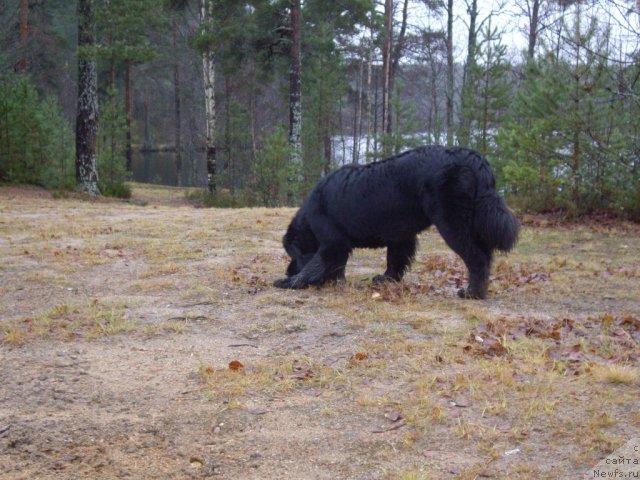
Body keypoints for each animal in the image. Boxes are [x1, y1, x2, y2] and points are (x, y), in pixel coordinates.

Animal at [276, 144, 520, 298]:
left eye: (291, 255)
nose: (288, 271)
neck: (310, 217)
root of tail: (472, 157)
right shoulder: (400, 236)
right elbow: (394, 260)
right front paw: (385, 279)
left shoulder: (331, 242)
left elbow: (316, 264)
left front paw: (291, 282)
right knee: (486, 254)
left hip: (452, 223)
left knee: (477, 258)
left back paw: (472, 293)